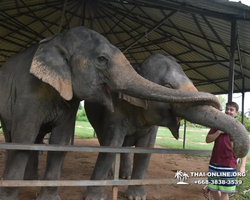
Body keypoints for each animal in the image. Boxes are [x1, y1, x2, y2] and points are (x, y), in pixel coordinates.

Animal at [0, 26, 226, 200]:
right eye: (102, 59)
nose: (219, 103)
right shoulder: (30, 92)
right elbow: (25, 140)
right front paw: (95, 197)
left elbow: (145, 148)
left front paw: (136, 196)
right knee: (17, 138)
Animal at [84, 53, 250, 200]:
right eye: (167, 86)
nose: (234, 147)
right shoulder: (114, 110)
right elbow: (111, 144)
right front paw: (94, 197)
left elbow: (146, 148)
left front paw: (136, 197)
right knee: (105, 140)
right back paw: (113, 175)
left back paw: (125, 176)